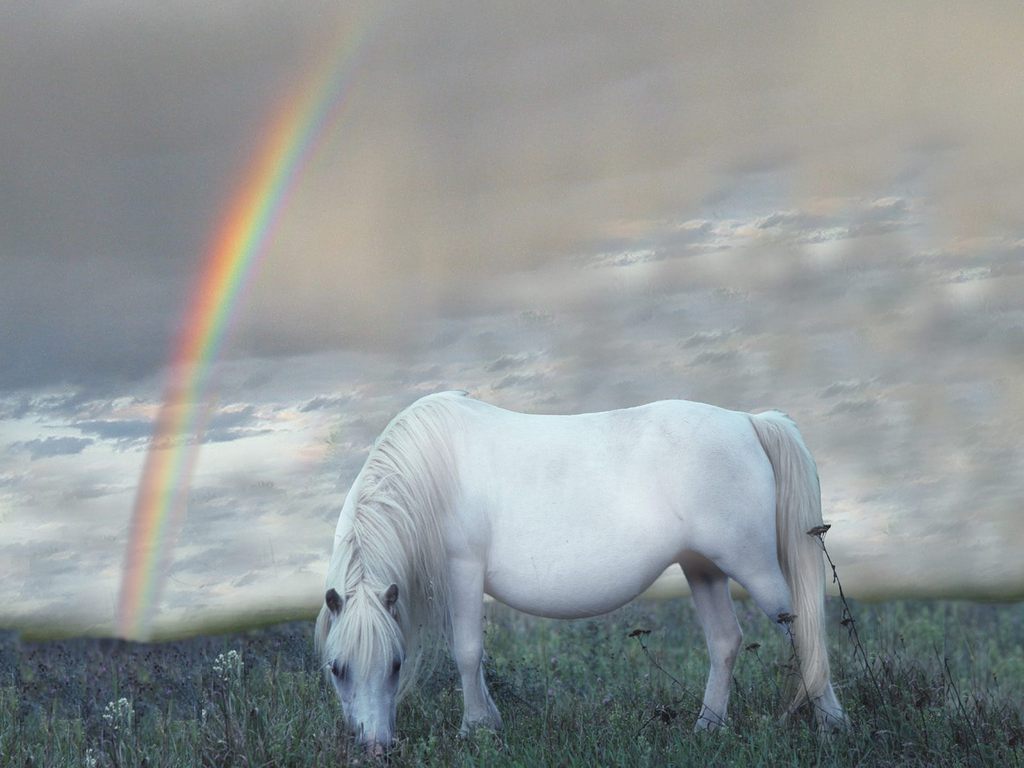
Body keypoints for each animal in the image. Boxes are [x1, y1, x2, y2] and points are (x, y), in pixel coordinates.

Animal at [314, 391, 847, 753]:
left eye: (396, 664)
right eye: (336, 669)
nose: (375, 747)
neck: (430, 470)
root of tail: (749, 422)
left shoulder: (463, 570)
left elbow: (466, 653)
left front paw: (475, 729)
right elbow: (472, 657)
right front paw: (489, 721)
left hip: (750, 564)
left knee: (802, 628)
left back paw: (832, 723)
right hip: (702, 568)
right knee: (725, 641)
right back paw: (707, 727)